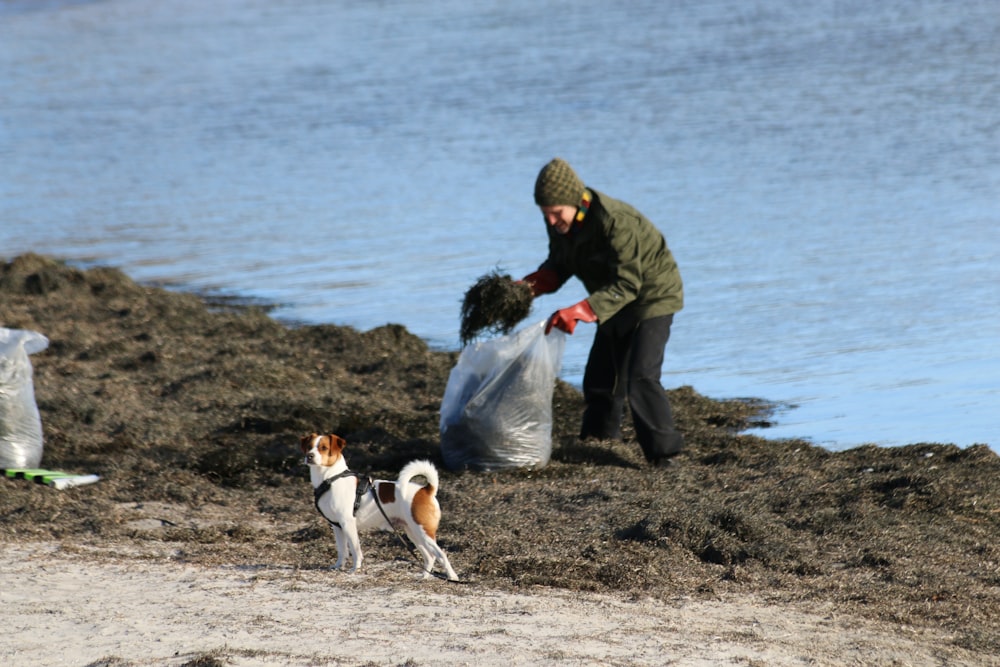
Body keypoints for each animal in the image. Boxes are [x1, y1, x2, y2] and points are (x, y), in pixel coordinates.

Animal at [300, 434, 460, 580]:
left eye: (323, 448)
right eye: (309, 447)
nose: (309, 456)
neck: (331, 479)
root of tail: (426, 490)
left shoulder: (348, 524)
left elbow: (355, 550)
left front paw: (355, 569)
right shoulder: (337, 527)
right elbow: (342, 550)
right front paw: (339, 566)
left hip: (423, 531)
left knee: (441, 554)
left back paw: (452, 577)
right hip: (413, 533)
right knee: (430, 556)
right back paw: (424, 577)